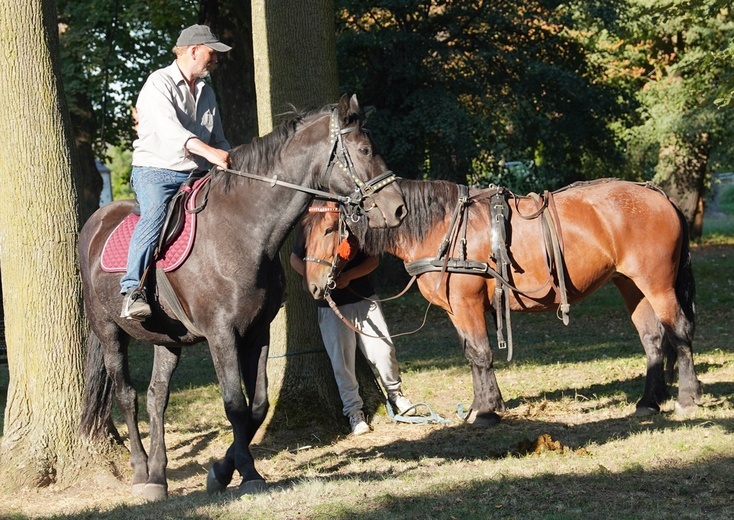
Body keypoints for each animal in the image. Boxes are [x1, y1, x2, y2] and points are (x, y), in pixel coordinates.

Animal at [77, 94, 408, 500]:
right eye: (363, 150)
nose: (397, 207)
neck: (243, 230)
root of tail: (94, 223)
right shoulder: (222, 334)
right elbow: (235, 405)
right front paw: (236, 474)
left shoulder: (258, 332)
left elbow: (258, 406)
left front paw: (229, 469)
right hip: (109, 332)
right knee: (127, 395)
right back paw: (141, 473)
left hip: (167, 340)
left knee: (156, 397)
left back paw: (158, 475)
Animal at [302, 179, 704, 426]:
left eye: (328, 229)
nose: (315, 286)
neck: (441, 227)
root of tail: (658, 195)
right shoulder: (457, 310)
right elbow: (471, 355)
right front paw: (482, 406)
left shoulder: (466, 304)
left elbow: (481, 354)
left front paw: (487, 412)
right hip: (631, 284)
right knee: (653, 340)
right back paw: (649, 402)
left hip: (657, 284)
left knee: (680, 333)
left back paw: (687, 397)